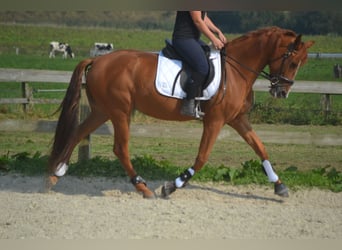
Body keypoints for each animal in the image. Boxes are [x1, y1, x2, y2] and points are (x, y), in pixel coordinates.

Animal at [46, 26, 314, 199]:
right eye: (292, 62)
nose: (282, 92)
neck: (237, 69)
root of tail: (98, 60)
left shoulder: (238, 119)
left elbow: (260, 147)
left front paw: (279, 186)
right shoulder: (215, 121)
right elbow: (202, 158)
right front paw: (171, 186)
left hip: (102, 111)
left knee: (77, 133)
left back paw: (55, 174)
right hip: (119, 111)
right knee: (120, 148)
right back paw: (142, 188)